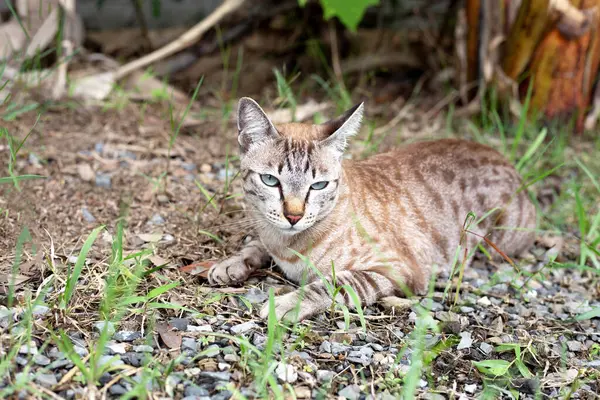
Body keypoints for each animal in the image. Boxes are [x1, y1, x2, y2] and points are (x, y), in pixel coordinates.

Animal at [209, 97, 536, 322]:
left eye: (319, 185)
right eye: (270, 180)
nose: (294, 215)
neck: (287, 244)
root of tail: (503, 158)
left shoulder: (396, 268)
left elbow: (331, 283)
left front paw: (286, 303)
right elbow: (255, 245)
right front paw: (231, 263)